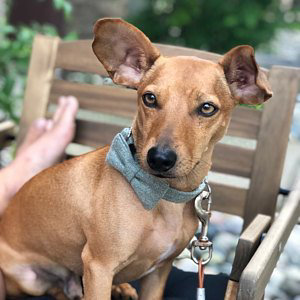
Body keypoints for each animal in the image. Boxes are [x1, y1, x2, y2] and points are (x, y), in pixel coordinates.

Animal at [0, 18, 272, 300]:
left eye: (207, 108)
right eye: (149, 98)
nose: (160, 159)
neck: (161, 196)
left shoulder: (159, 272)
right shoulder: (99, 268)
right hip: (31, 280)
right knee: (56, 289)